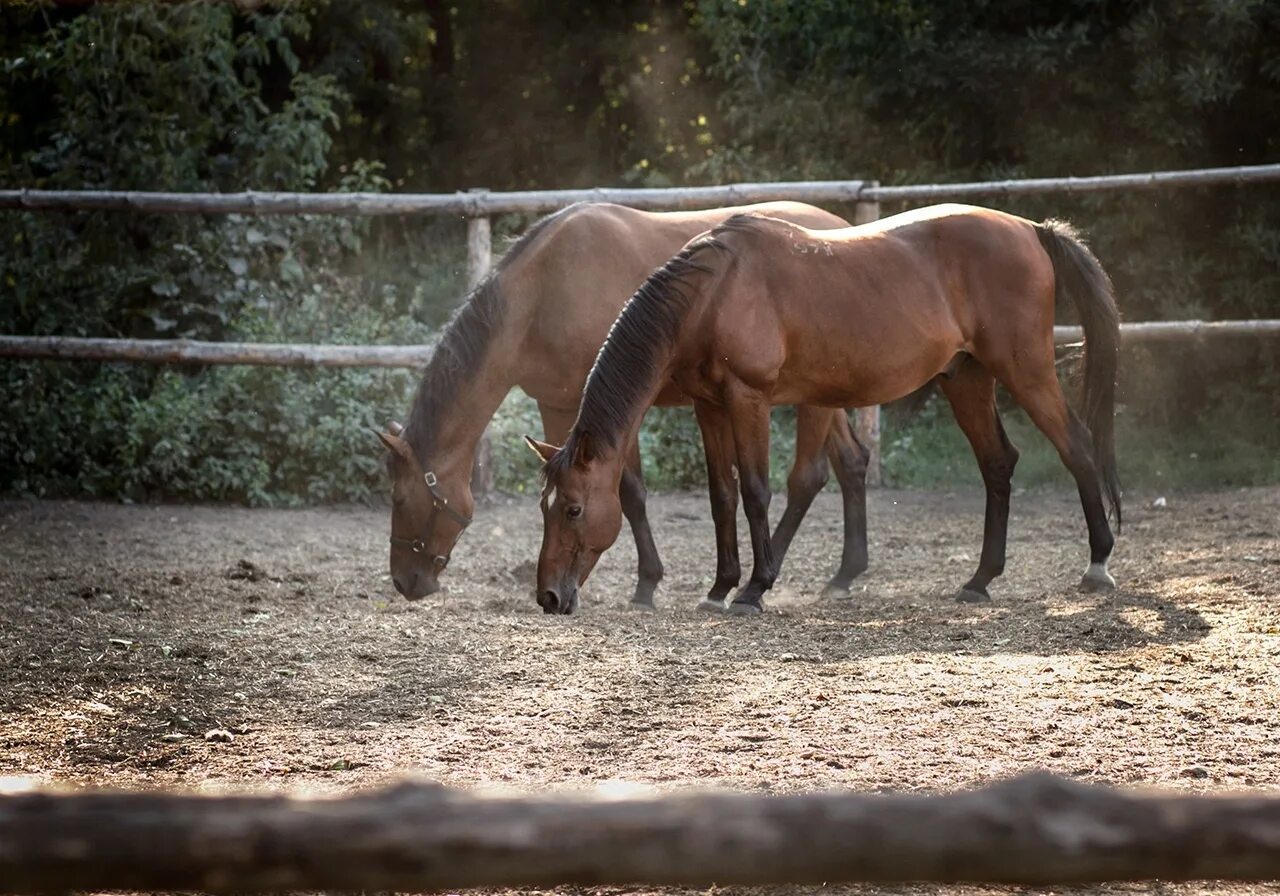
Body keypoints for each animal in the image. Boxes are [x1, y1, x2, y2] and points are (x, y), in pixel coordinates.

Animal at [371, 200, 870, 609]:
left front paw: (647, 585)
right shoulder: (558, 407)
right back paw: (844, 575)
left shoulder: (605, 412)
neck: (543, 293)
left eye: (399, 497)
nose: (404, 582)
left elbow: (629, 494)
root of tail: (840, 226)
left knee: (809, 476)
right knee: (851, 462)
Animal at [529, 204, 1121, 616]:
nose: (549, 597)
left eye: (574, 509)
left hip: (1027, 371)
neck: (714, 292)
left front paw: (753, 590)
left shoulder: (749, 401)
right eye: (544, 506)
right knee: (998, 462)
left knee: (1077, 445)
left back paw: (1097, 564)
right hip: (967, 379)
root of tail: (1030, 228)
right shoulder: (709, 407)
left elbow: (755, 491)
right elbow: (722, 496)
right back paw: (979, 581)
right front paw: (720, 587)